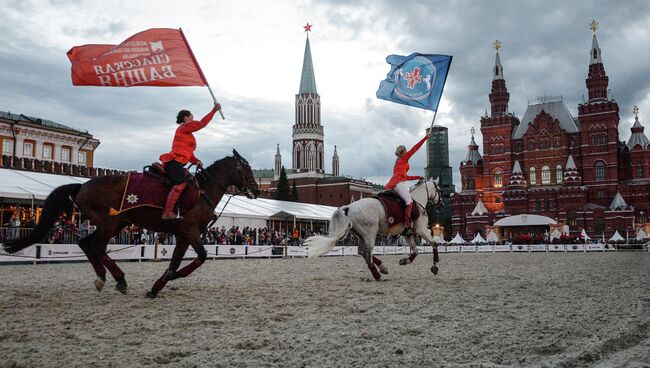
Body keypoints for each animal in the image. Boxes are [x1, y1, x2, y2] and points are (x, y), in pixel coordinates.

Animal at [3, 150, 260, 300]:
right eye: (247, 169)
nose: (256, 191)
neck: (202, 191)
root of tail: (82, 186)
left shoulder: (183, 234)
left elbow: (177, 261)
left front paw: (160, 284)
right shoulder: (189, 231)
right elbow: (201, 258)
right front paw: (169, 279)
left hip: (115, 223)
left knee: (87, 244)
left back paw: (104, 277)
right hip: (110, 222)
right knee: (96, 247)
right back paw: (119, 279)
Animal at [304, 178, 440, 278]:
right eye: (439, 189)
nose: (441, 203)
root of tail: (349, 207)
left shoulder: (408, 234)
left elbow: (416, 251)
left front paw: (405, 261)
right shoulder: (421, 230)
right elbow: (434, 244)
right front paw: (435, 266)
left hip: (361, 235)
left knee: (361, 252)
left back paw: (382, 268)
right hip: (370, 234)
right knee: (367, 253)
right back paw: (377, 275)